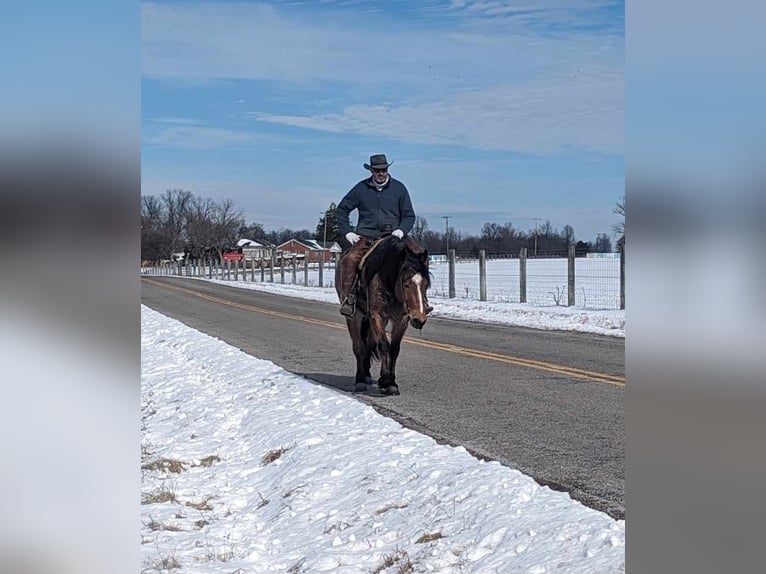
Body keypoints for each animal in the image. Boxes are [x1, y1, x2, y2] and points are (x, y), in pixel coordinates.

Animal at [336, 235, 432, 396]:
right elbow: (383, 345)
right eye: (406, 283)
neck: (386, 278)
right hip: (354, 317)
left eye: (425, 284)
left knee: (369, 345)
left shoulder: (401, 319)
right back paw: (360, 380)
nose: (419, 319)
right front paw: (386, 380)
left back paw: (368, 376)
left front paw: (390, 382)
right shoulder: (376, 315)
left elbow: (393, 349)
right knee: (359, 346)